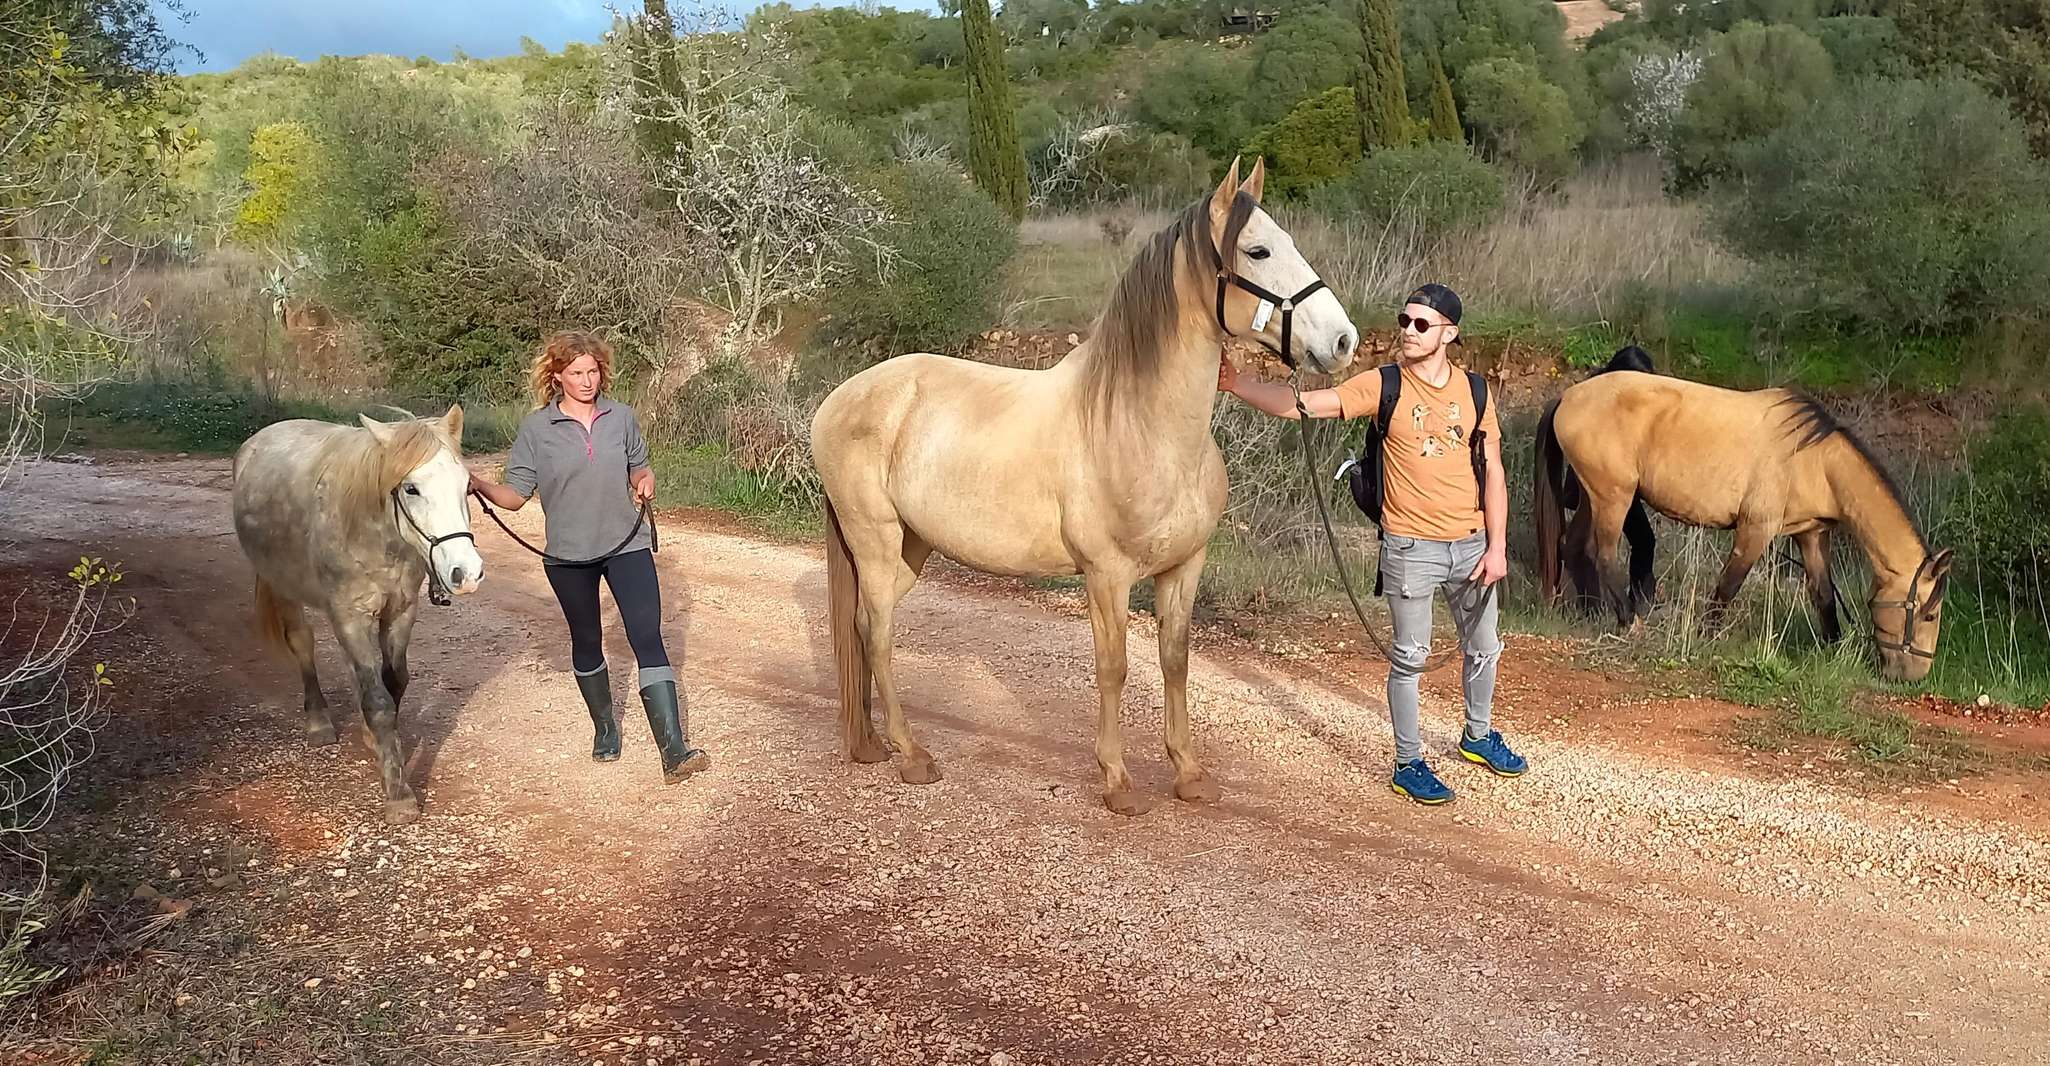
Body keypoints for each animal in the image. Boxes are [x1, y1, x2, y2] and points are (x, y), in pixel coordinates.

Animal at [230, 405, 485, 824]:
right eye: (411, 489)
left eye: (466, 486)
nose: (466, 573)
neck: (373, 533)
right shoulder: (349, 614)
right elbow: (378, 701)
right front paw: (398, 795)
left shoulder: (400, 610)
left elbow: (393, 682)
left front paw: (378, 741)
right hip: (284, 589)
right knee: (303, 646)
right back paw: (318, 721)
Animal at [810, 157, 1359, 816]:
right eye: (1257, 250)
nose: (1343, 341)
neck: (1139, 424)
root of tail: (841, 398)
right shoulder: (1107, 575)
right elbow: (1114, 667)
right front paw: (1118, 781)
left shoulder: (1184, 568)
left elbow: (1174, 660)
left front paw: (1188, 773)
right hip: (875, 541)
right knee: (877, 630)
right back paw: (912, 754)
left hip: (911, 548)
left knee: (867, 626)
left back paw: (873, 743)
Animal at [1534, 370, 1953, 682]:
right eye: (1929, 615)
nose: (1914, 676)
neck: (1815, 460)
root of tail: (1567, 397)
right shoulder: (1755, 531)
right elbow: (1727, 588)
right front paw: (1705, 639)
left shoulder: (1811, 534)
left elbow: (1822, 596)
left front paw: (1832, 648)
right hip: (1613, 498)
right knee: (1602, 554)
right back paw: (1627, 621)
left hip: (1594, 497)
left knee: (1575, 548)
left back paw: (1591, 613)